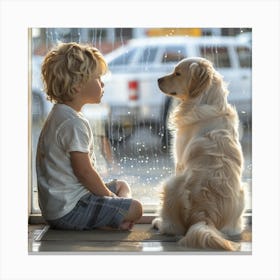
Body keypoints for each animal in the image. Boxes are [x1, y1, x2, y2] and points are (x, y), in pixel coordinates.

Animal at [152, 57, 246, 252]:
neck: (207, 102)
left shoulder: (179, 161)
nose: (158, 79)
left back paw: (159, 222)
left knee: (172, 227)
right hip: (243, 193)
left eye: (177, 73)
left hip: (169, 184)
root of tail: (204, 216)